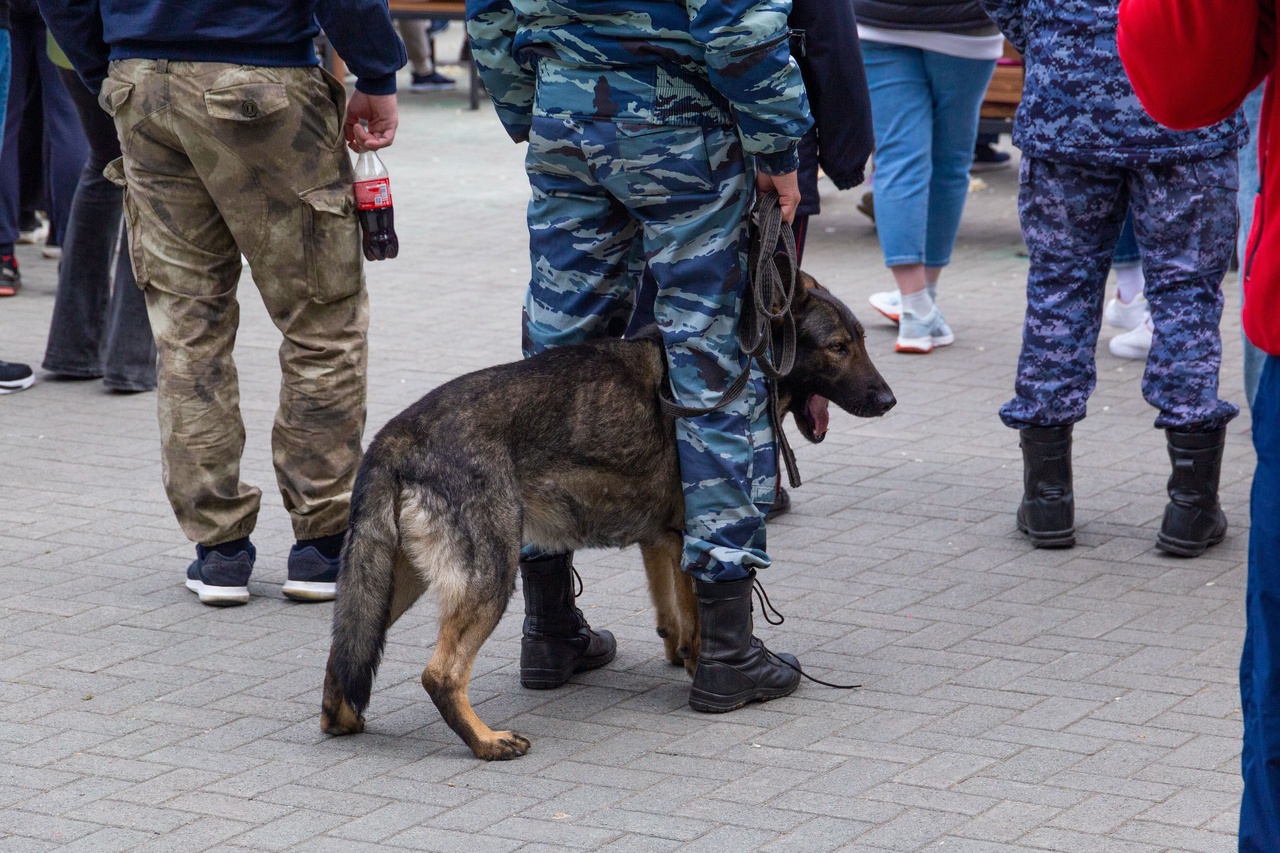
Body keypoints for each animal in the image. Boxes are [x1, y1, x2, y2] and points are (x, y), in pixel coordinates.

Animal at [322, 272, 890, 758]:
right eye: (839, 348)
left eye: (861, 341)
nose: (888, 400)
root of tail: (395, 437)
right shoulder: (691, 533)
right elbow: (700, 611)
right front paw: (715, 674)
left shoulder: (662, 541)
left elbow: (673, 615)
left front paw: (683, 657)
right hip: (487, 579)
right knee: (439, 674)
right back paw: (486, 741)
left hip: (393, 581)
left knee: (345, 652)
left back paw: (341, 718)